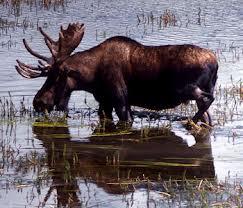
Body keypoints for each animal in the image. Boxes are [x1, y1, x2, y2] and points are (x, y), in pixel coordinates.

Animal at [16, 21, 219, 125]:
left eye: (56, 76)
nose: (37, 102)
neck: (91, 77)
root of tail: (215, 63)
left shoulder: (120, 98)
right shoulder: (104, 100)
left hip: (187, 88)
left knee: (208, 99)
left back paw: (189, 122)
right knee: (208, 114)